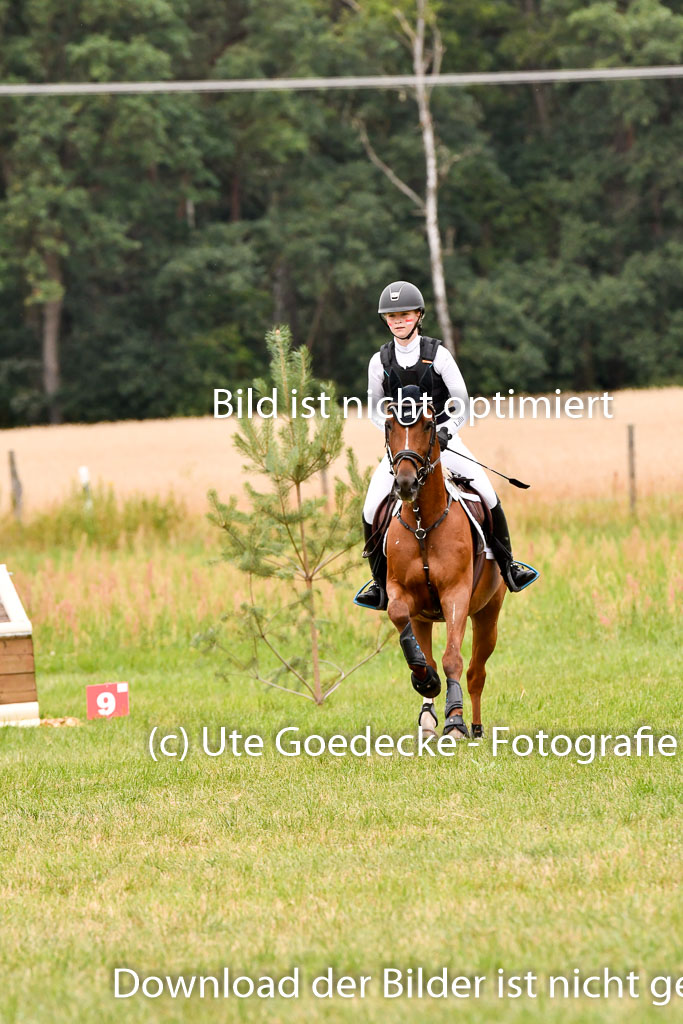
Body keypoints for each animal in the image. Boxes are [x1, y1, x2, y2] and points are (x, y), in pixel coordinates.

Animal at [385, 389, 507, 737]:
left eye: (428, 426)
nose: (406, 484)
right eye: (389, 426)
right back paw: (427, 717)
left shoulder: (456, 594)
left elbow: (453, 656)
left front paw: (455, 720)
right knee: (425, 651)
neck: (423, 525)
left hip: (488, 614)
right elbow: (401, 621)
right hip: (423, 618)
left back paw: (475, 727)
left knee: (476, 673)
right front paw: (426, 681)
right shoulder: (401, 593)